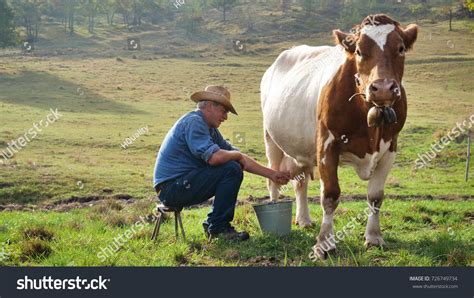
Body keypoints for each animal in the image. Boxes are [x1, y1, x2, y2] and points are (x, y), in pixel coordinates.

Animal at [260, 14, 418, 258]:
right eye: (359, 51)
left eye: (400, 48)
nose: (382, 88)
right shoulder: (327, 146)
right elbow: (330, 196)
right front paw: (324, 243)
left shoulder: (390, 147)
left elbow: (375, 196)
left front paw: (374, 237)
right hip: (272, 142)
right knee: (273, 181)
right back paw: (275, 215)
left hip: (301, 149)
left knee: (300, 182)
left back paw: (304, 219)